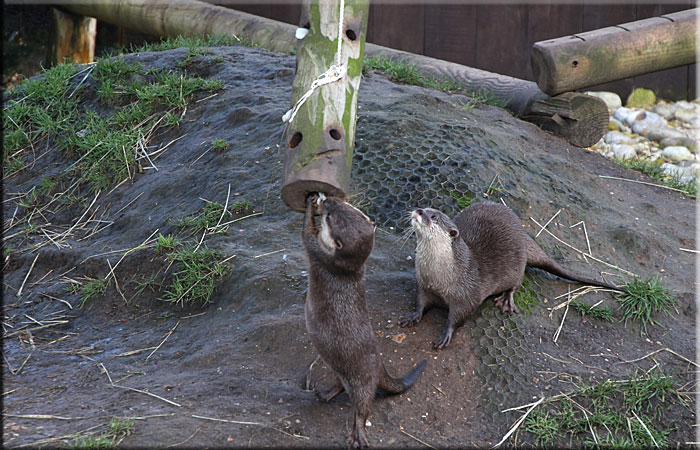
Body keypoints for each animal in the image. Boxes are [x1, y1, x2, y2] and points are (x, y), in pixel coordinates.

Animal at [302, 193, 427, 448]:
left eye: (330, 217)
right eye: (344, 204)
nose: (328, 200)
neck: (344, 269)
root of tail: (379, 365)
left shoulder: (319, 254)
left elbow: (307, 233)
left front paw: (309, 204)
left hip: (362, 380)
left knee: (362, 406)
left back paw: (358, 435)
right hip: (340, 367)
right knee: (340, 385)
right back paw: (324, 394)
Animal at [399, 202, 622, 350]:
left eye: (434, 217)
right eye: (425, 208)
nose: (419, 211)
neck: (439, 274)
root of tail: (524, 235)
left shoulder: (468, 294)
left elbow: (459, 316)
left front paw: (446, 334)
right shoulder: (423, 284)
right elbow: (420, 302)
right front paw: (412, 317)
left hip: (516, 266)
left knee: (517, 282)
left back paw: (506, 300)